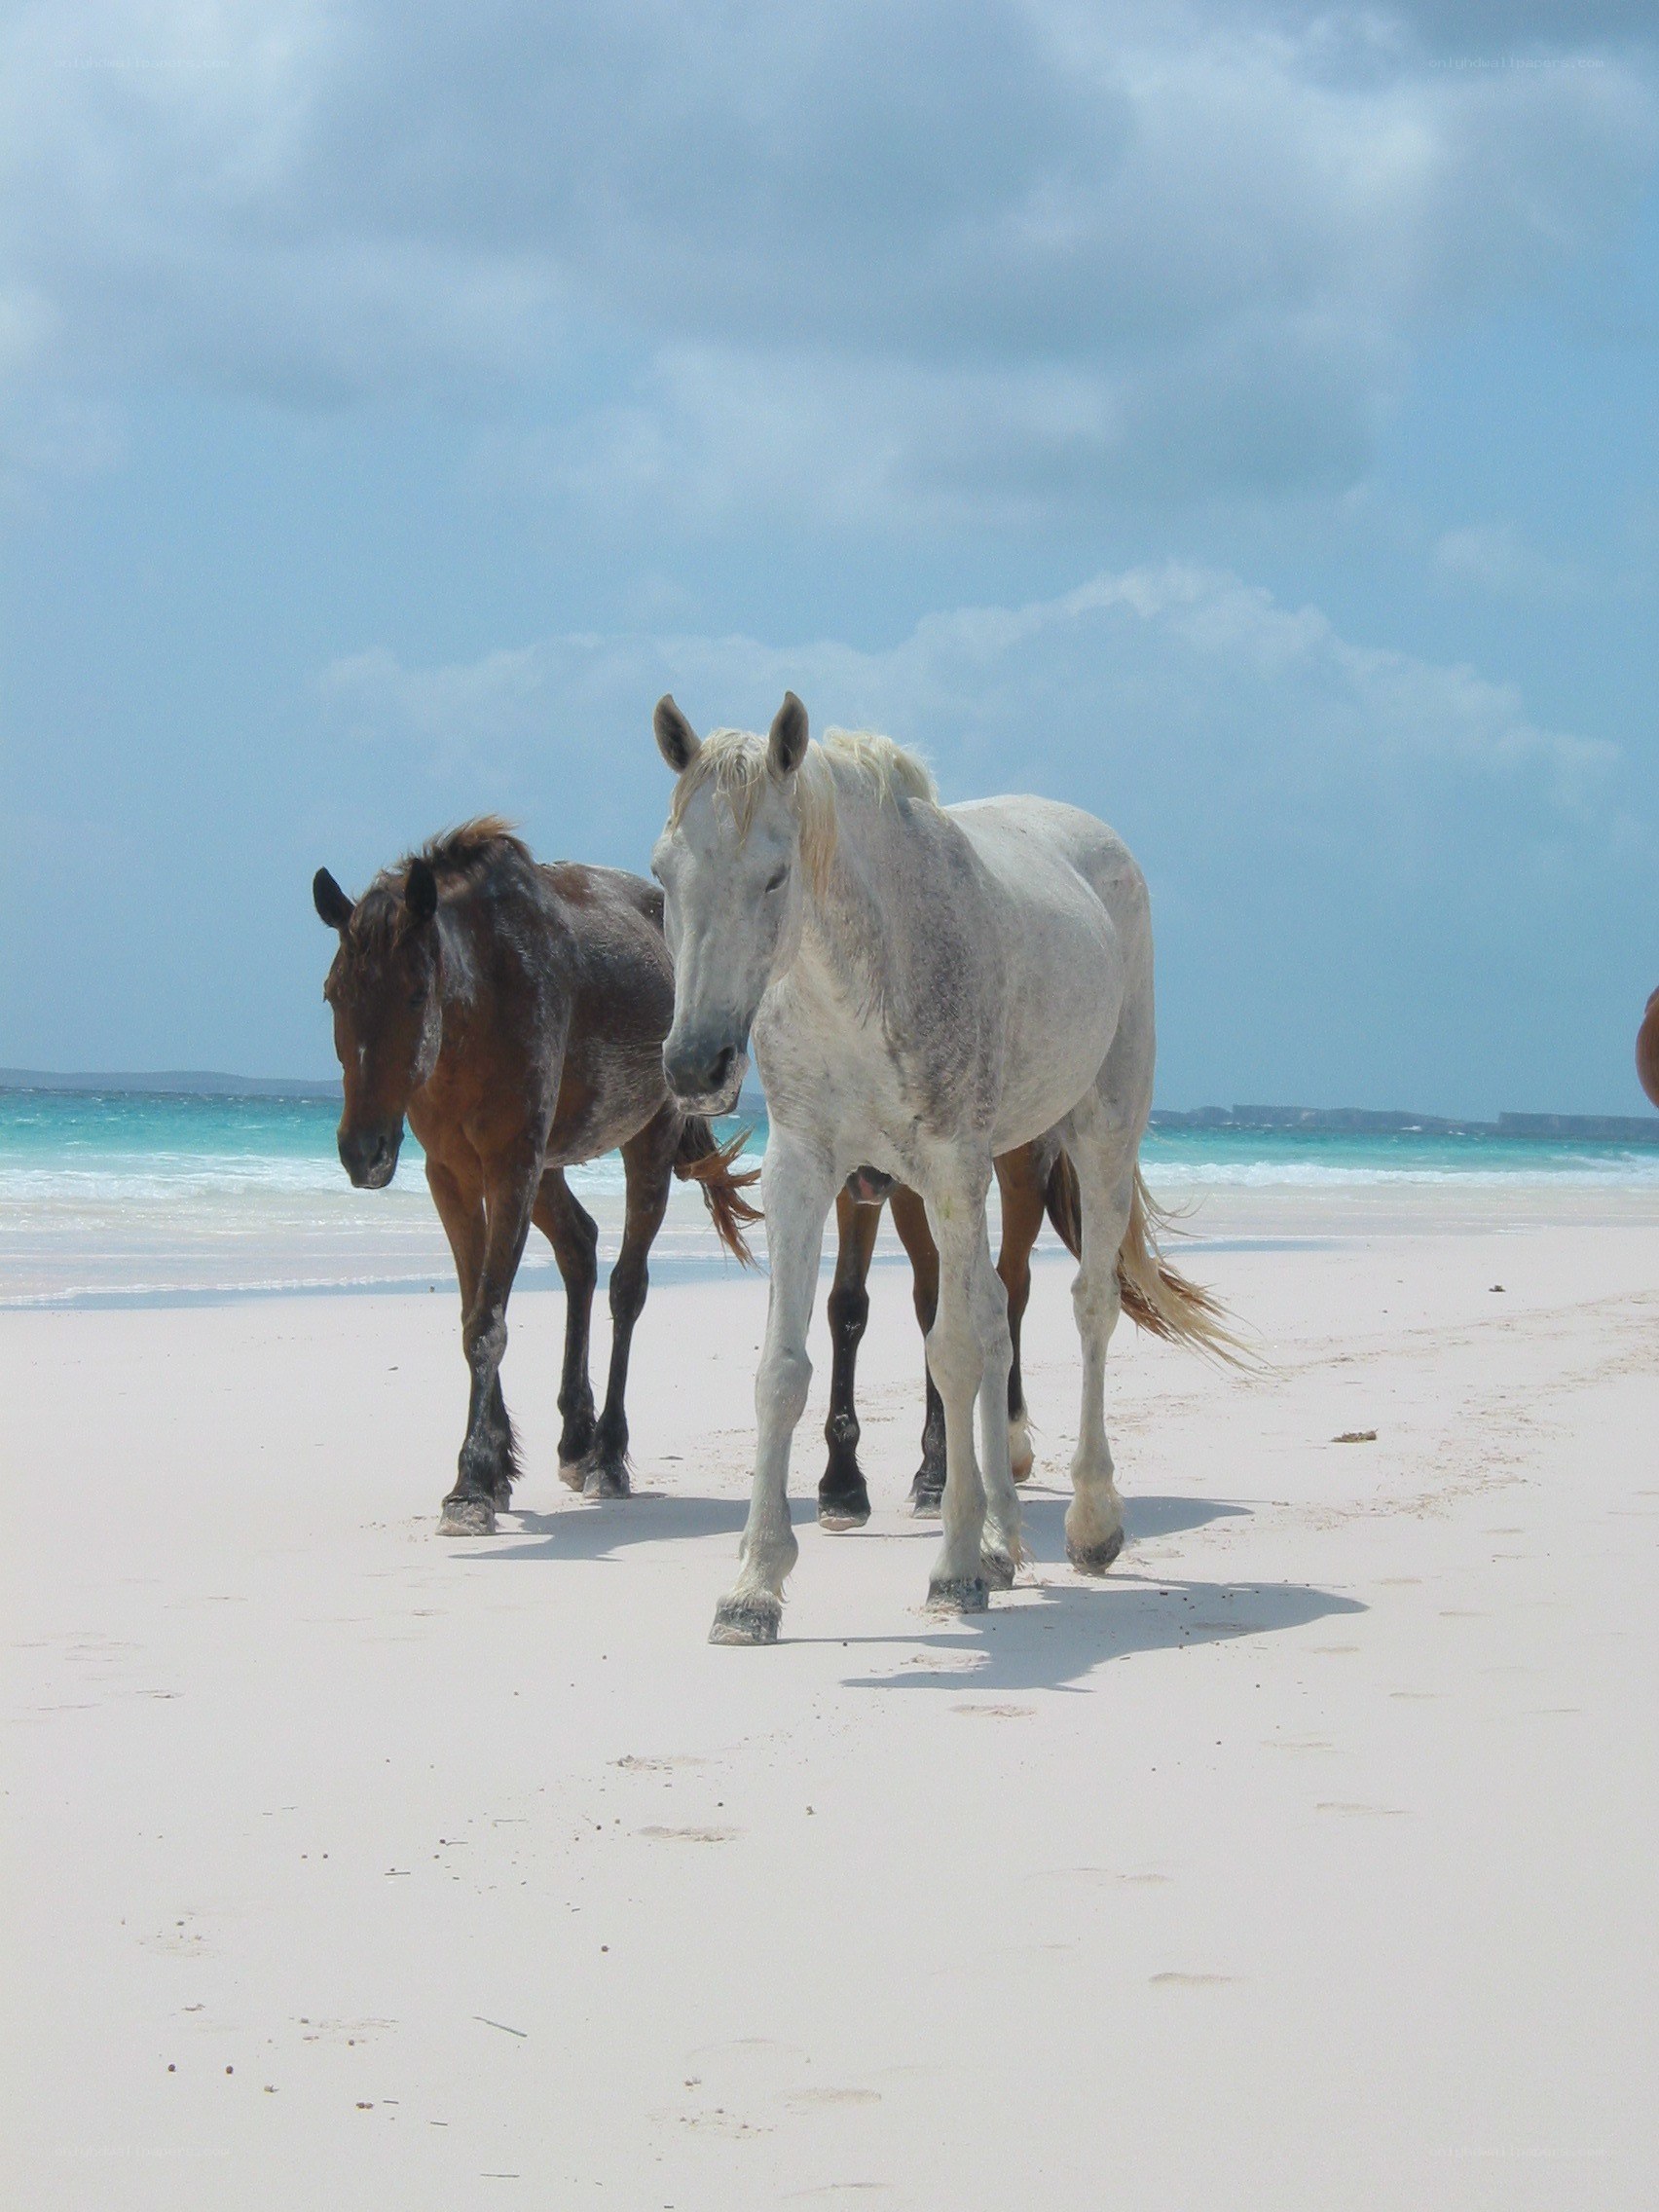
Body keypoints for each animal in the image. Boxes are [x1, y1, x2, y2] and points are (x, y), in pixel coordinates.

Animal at [312, 818, 759, 1533]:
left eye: (414, 993)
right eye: (334, 995)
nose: (363, 1151)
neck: (481, 1002)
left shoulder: (512, 1165)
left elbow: (488, 1322)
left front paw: (471, 1482)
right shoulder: (453, 1176)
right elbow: (472, 1311)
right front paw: (495, 1467)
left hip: (646, 1143)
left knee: (627, 1288)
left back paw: (607, 1455)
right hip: (549, 1169)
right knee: (579, 1247)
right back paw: (575, 1439)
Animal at [649, 692, 1238, 1642]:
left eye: (774, 877)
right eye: (663, 874)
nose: (697, 1065)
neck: (854, 976)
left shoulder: (952, 1167)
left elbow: (953, 1351)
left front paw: (954, 1568)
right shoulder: (803, 1170)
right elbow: (784, 1370)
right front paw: (754, 1586)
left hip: (1099, 1137)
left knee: (1088, 1309)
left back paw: (1089, 1525)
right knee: (1001, 1314)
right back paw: (1004, 1540)